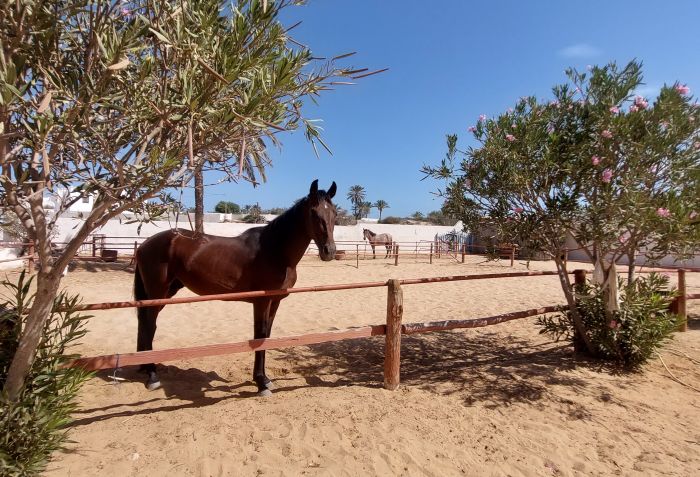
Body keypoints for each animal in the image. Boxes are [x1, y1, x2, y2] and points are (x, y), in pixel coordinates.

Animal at [135, 178, 338, 394]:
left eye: (334, 214)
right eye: (314, 213)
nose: (329, 251)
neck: (275, 250)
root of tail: (146, 244)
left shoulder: (275, 301)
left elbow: (267, 335)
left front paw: (264, 379)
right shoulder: (261, 301)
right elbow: (259, 336)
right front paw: (261, 382)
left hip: (166, 292)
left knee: (147, 324)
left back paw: (145, 367)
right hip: (157, 293)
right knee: (149, 325)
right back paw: (152, 375)